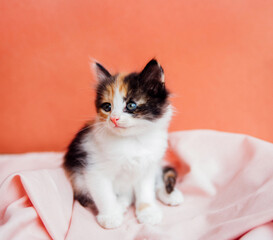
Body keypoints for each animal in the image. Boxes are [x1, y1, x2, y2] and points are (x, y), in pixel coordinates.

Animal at [63, 59, 183, 229]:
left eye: (131, 105)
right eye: (107, 107)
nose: (113, 119)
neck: (132, 141)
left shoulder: (148, 165)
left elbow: (146, 190)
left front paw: (148, 212)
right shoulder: (93, 166)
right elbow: (104, 194)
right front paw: (111, 216)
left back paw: (170, 195)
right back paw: (121, 203)